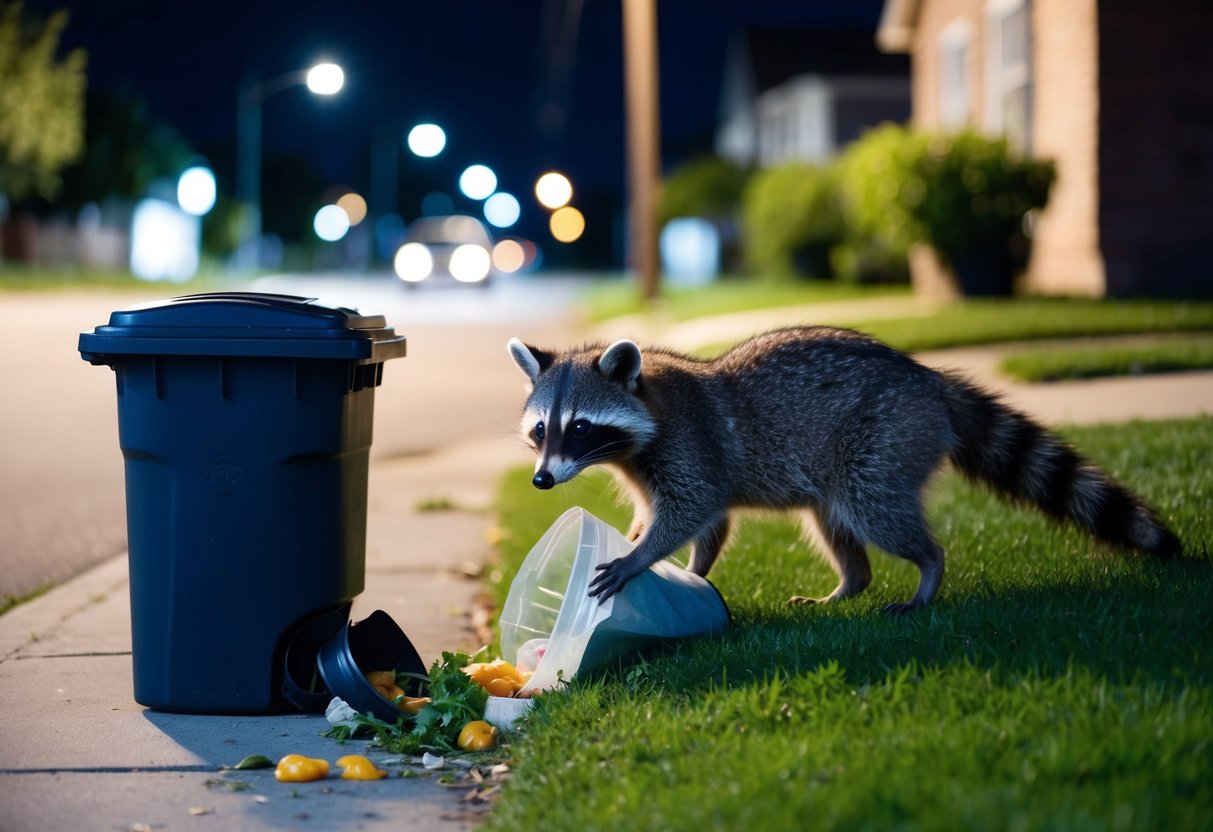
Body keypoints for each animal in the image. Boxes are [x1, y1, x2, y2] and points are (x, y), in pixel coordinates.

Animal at [507, 327, 1180, 612]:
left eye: (580, 427)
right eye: (541, 430)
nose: (541, 480)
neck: (645, 400)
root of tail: (929, 379)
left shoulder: (691, 448)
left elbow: (691, 510)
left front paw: (641, 556)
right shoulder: (652, 465)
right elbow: (706, 524)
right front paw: (687, 568)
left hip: (883, 439)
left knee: (876, 512)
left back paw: (928, 571)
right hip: (845, 467)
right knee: (834, 524)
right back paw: (850, 583)